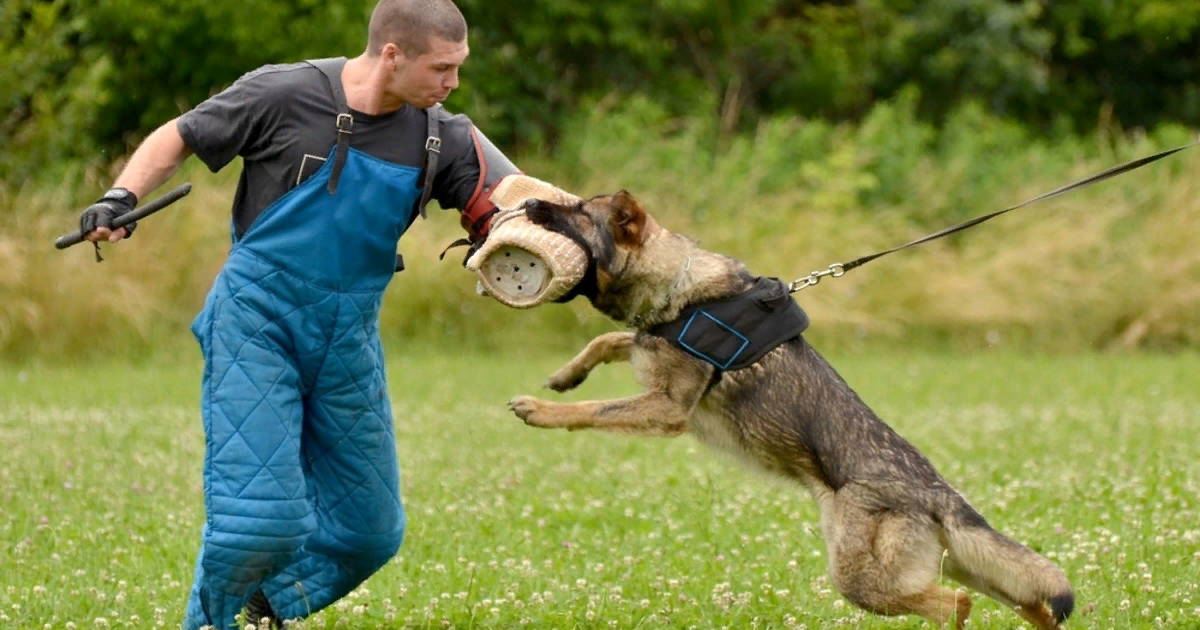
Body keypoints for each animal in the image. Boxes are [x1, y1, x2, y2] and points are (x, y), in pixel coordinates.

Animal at [506, 192, 1080, 628]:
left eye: (579, 211)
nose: (529, 202)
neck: (681, 288)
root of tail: (941, 495)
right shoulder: (649, 354)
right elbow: (606, 340)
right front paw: (565, 375)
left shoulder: (667, 409)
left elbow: (592, 408)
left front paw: (540, 408)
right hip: (966, 570)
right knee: (1028, 601)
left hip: (863, 580)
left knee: (956, 606)